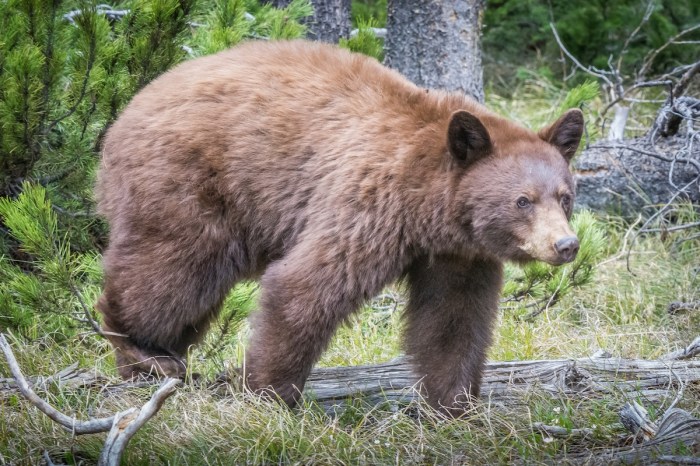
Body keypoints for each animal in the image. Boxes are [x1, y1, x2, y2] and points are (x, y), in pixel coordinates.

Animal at [96, 40, 583, 414]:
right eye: (522, 201)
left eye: (565, 196)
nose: (566, 244)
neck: (429, 208)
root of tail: (129, 108)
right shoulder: (369, 203)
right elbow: (306, 286)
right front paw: (268, 393)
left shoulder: (459, 254)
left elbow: (453, 319)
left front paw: (455, 404)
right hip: (188, 182)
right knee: (172, 269)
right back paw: (142, 353)